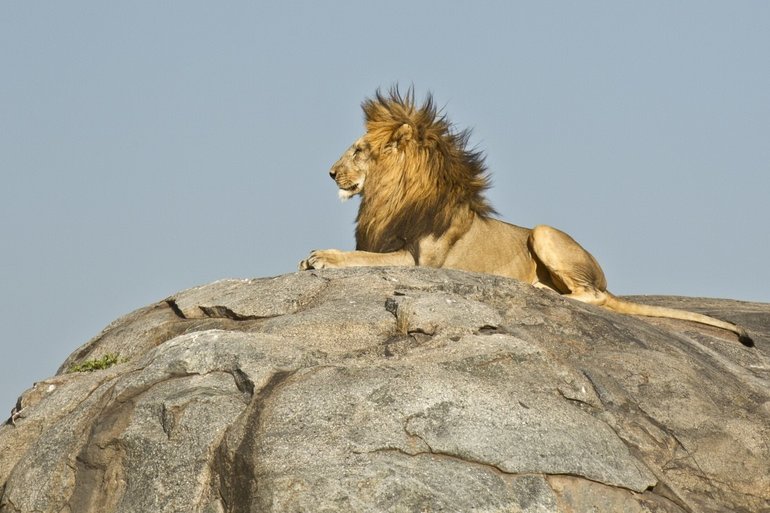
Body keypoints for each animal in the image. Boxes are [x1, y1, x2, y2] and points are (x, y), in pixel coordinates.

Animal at [298, 88, 752, 346]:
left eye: (359, 150)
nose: (330, 173)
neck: (388, 196)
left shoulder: (418, 261)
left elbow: (360, 259)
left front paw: (320, 257)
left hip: (544, 233)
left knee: (593, 296)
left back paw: (543, 290)